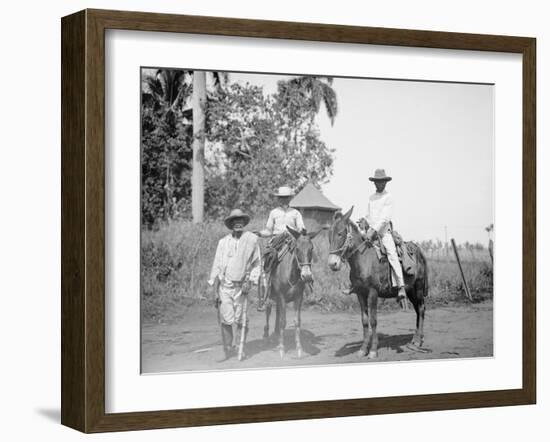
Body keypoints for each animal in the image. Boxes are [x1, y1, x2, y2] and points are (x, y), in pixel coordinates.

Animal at [264, 226, 322, 358]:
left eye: (311, 248)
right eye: (297, 248)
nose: (307, 276)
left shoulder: (298, 298)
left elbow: (297, 322)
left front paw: (299, 349)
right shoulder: (281, 296)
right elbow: (283, 322)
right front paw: (282, 349)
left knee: (277, 312)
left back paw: (276, 334)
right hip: (270, 295)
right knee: (268, 310)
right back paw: (267, 336)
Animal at [330, 208, 430, 360]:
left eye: (340, 233)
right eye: (329, 234)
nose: (332, 263)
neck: (364, 259)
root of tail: (418, 250)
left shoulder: (373, 293)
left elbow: (373, 321)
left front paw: (373, 351)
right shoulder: (360, 294)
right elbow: (365, 321)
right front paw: (362, 349)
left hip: (418, 288)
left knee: (421, 309)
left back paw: (418, 341)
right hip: (410, 291)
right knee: (418, 310)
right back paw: (415, 339)